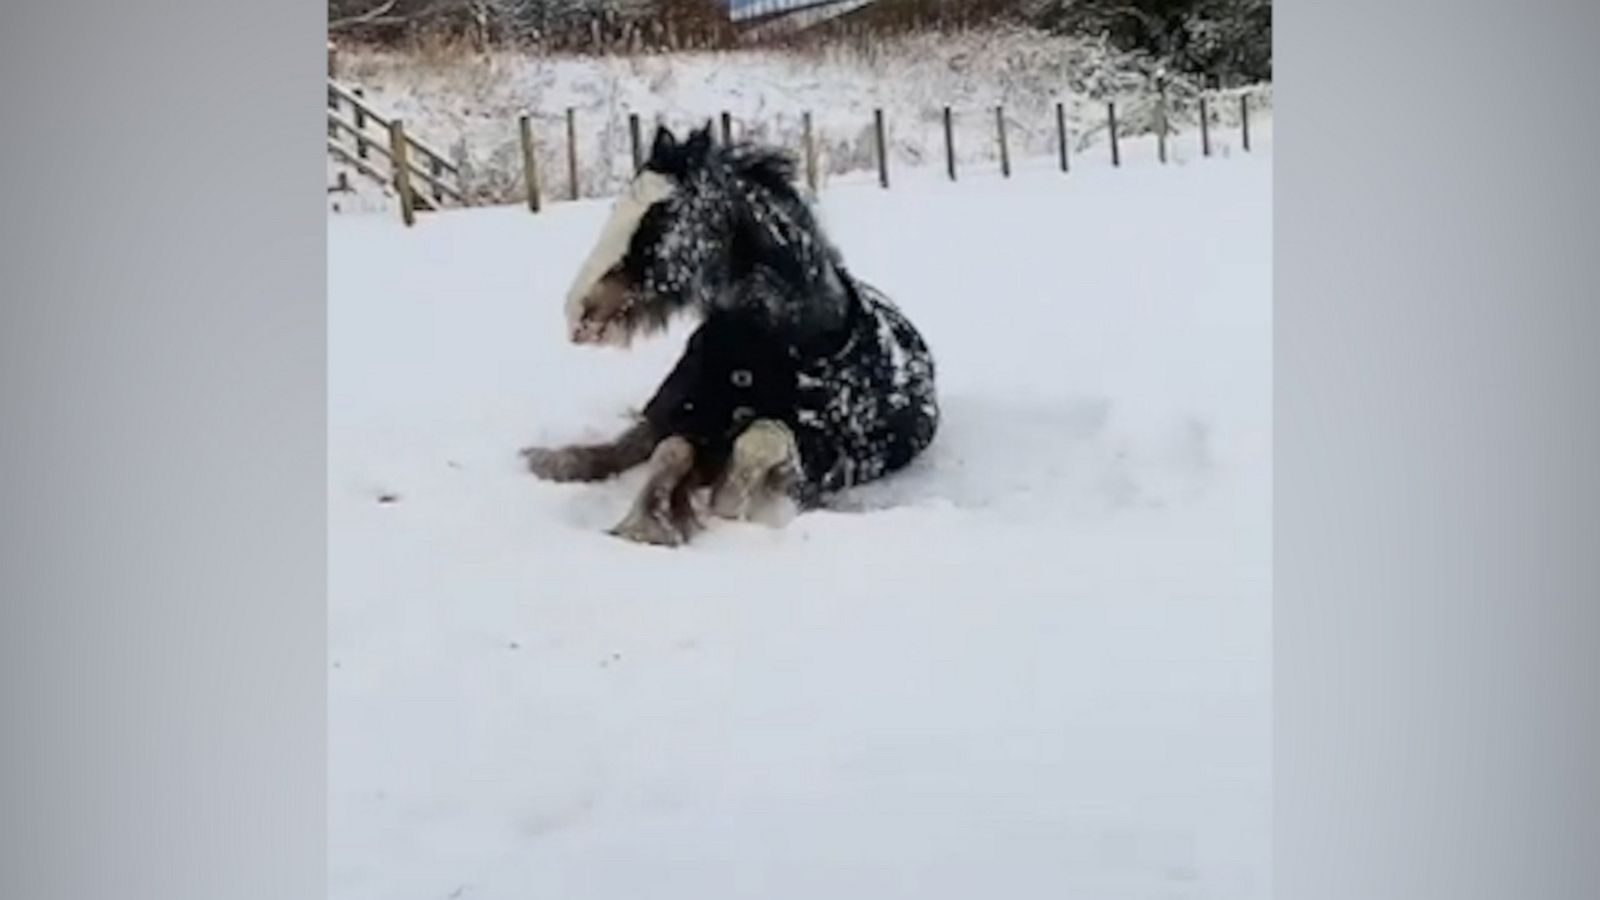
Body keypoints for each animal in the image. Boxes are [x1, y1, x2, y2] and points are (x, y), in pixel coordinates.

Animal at [521, 122, 934, 544]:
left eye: (660, 217)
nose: (577, 311)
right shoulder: (691, 420)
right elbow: (671, 450)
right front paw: (647, 524)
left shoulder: (829, 461)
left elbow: (759, 438)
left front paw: (725, 500)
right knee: (632, 441)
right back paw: (550, 460)